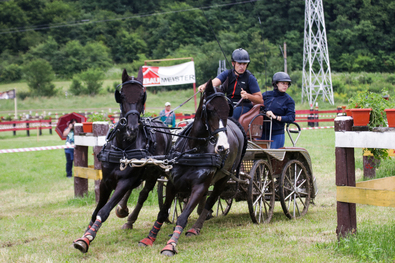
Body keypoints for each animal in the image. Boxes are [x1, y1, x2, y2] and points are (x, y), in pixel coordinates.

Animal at [73, 69, 172, 255]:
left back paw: (130, 217)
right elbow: (96, 210)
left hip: (152, 173)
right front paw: (85, 234)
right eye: (123, 96)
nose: (131, 129)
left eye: (141, 96)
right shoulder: (105, 181)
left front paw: (87, 238)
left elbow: (104, 210)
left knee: (142, 194)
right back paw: (123, 210)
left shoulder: (125, 180)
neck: (124, 146)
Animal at [139, 79, 248, 256]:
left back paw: (195, 228)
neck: (193, 150)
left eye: (228, 110)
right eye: (210, 109)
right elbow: (163, 212)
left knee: (211, 200)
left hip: (224, 178)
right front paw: (149, 237)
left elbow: (183, 216)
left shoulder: (200, 186)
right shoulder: (173, 183)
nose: (223, 147)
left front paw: (171, 245)